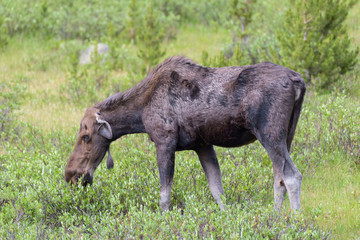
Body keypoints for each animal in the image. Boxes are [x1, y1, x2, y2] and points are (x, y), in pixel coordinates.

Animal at [65, 56, 306, 212]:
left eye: (86, 136)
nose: (70, 175)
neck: (140, 114)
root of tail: (298, 81)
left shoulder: (164, 142)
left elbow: (164, 197)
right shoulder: (202, 145)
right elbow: (217, 191)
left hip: (270, 134)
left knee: (291, 176)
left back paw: (291, 221)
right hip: (287, 135)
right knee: (279, 178)